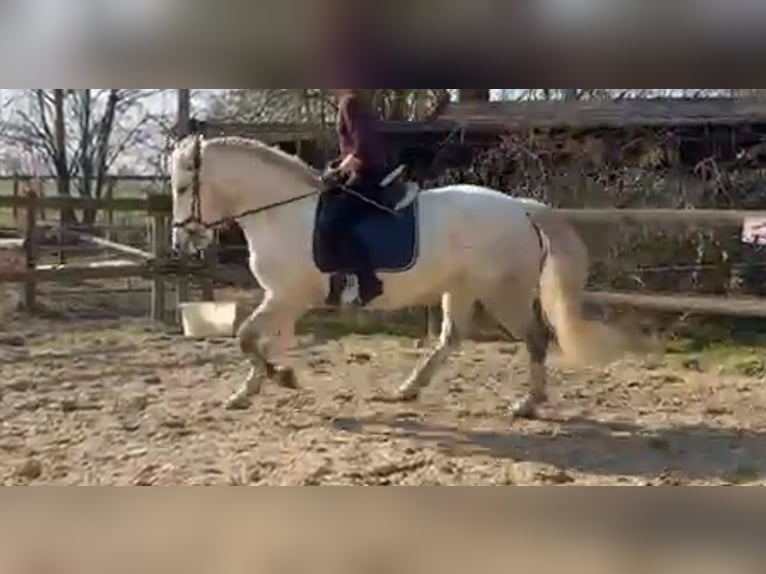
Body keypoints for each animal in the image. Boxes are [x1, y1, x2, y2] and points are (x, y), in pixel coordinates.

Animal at [170, 134, 631, 420]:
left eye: (180, 188)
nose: (184, 240)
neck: (281, 212)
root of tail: (522, 208)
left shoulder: (287, 296)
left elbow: (247, 337)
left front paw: (277, 379)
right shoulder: (282, 298)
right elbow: (262, 341)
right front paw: (255, 388)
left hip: (505, 294)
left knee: (535, 339)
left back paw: (527, 405)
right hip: (460, 289)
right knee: (450, 339)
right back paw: (408, 389)